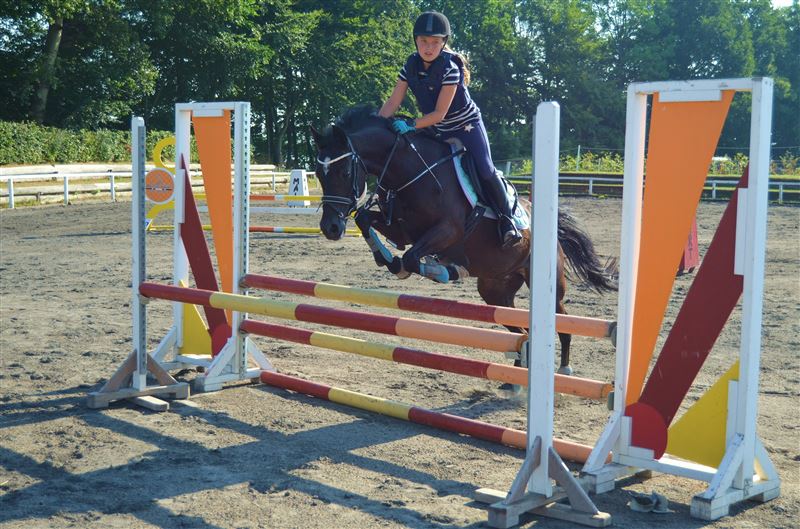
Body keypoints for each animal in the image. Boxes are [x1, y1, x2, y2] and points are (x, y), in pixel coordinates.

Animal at [310, 105, 616, 374]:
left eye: (345, 172)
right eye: (319, 175)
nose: (331, 227)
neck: (410, 171)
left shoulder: (449, 230)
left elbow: (411, 258)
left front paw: (444, 270)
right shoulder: (402, 230)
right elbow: (366, 221)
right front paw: (389, 261)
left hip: (550, 288)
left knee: (562, 322)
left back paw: (564, 367)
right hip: (496, 292)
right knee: (521, 331)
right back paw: (515, 378)